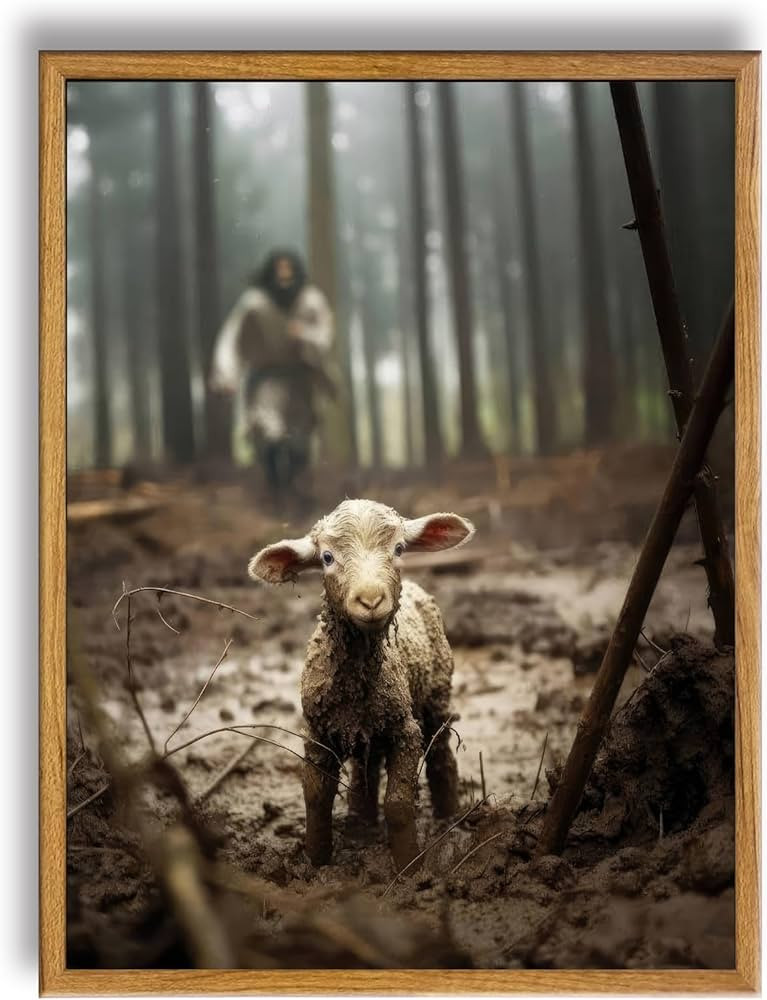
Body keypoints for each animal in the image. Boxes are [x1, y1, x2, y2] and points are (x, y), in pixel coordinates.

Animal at [248, 498, 475, 870]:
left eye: (399, 549)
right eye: (327, 557)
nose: (370, 600)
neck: (356, 682)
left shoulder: (405, 730)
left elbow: (398, 803)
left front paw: (409, 866)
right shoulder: (318, 732)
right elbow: (316, 796)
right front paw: (316, 860)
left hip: (436, 693)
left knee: (441, 751)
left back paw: (449, 816)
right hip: (367, 725)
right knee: (365, 766)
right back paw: (361, 821)